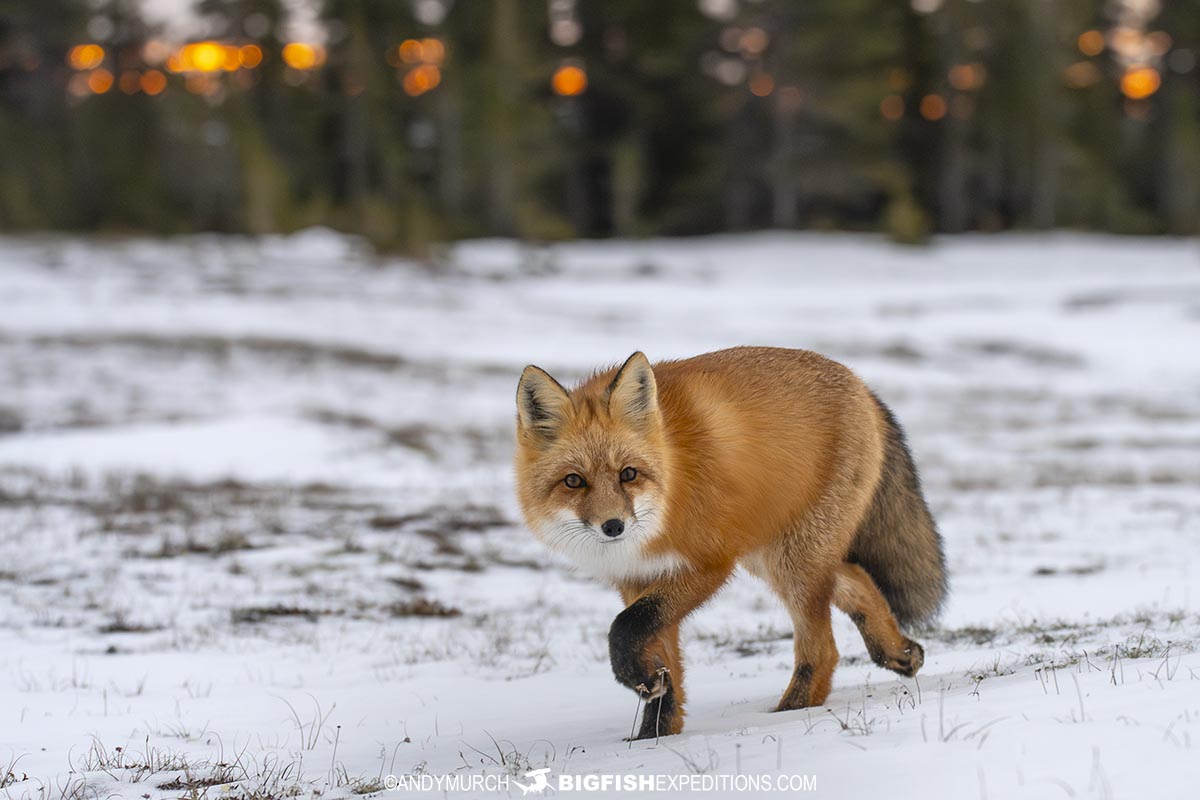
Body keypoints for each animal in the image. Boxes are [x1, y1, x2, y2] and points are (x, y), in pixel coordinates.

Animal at [513, 347, 945, 743]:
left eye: (628, 474)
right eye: (573, 481)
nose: (613, 526)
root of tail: (860, 383)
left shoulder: (709, 564)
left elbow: (625, 627)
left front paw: (641, 691)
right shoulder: (637, 579)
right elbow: (665, 665)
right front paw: (654, 736)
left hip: (791, 561)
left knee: (824, 649)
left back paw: (788, 714)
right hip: (775, 554)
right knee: (856, 580)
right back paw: (901, 653)